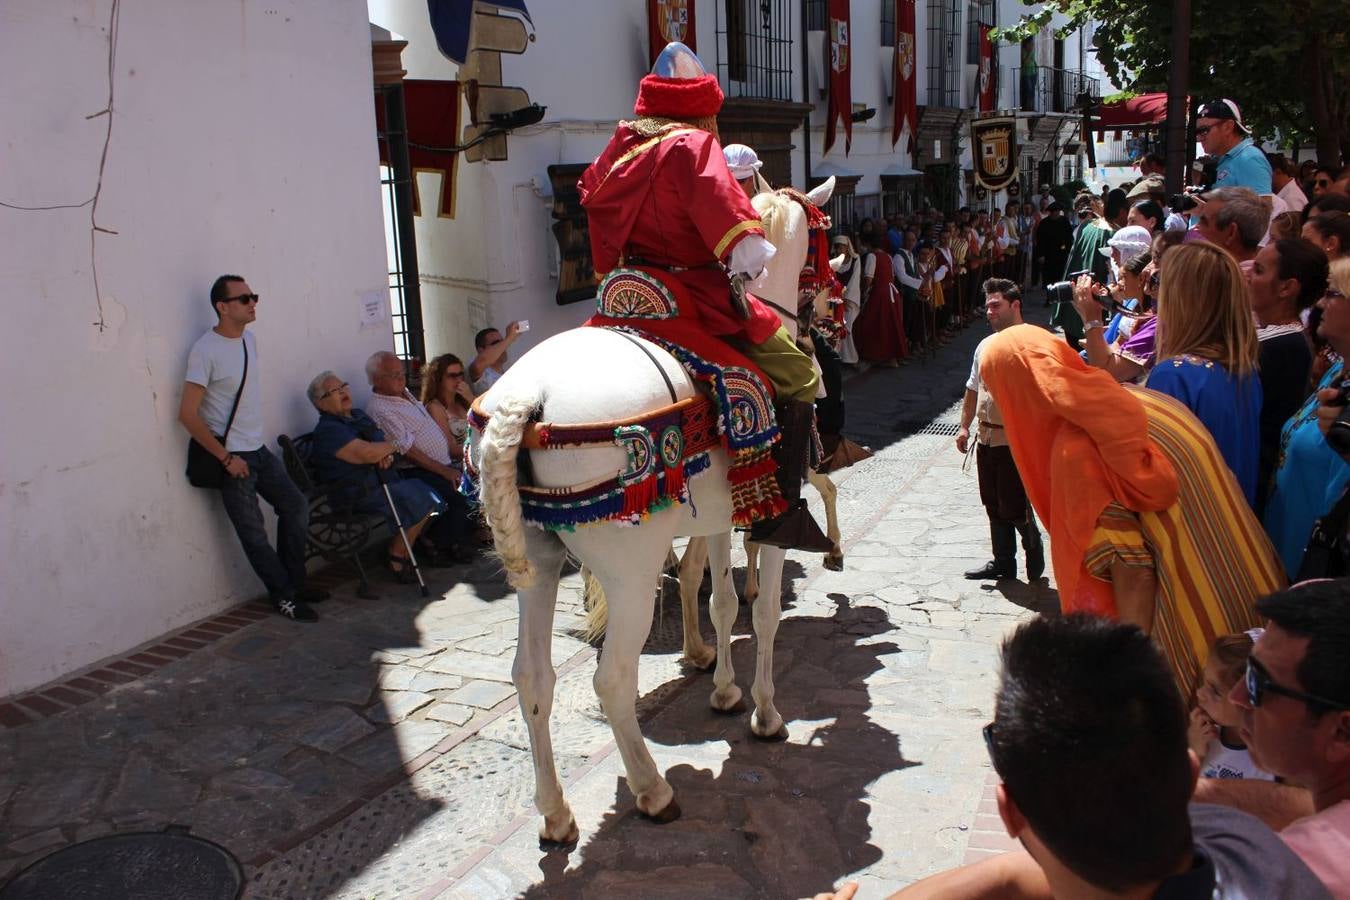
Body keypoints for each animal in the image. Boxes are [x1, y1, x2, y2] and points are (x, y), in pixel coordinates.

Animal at [475, 178, 831, 847]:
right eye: (823, 240)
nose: (830, 305)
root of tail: (525, 398)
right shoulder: (772, 521)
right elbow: (764, 612)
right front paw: (766, 713)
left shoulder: (717, 516)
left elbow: (720, 603)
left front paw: (724, 690)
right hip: (631, 573)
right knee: (613, 679)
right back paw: (652, 790)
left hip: (538, 560)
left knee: (532, 678)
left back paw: (555, 812)